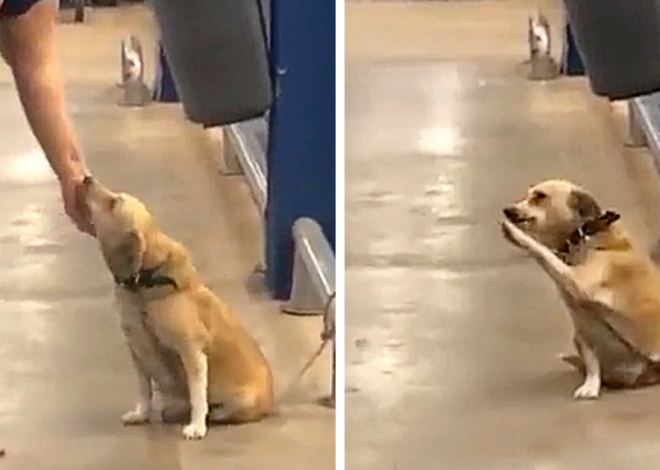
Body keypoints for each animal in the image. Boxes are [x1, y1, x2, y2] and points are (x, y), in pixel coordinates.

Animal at [82, 175, 274, 436]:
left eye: (113, 203)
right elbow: (145, 389)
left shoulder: (190, 350)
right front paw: (141, 413)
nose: (86, 179)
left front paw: (196, 426)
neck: (145, 282)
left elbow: (197, 394)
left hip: (243, 399)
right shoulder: (136, 349)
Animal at [502, 180, 660, 400]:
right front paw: (591, 385)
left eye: (540, 196)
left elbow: (542, 252)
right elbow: (592, 362)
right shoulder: (582, 327)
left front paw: (518, 236)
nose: (508, 210)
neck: (583, 238)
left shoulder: (579, 283)